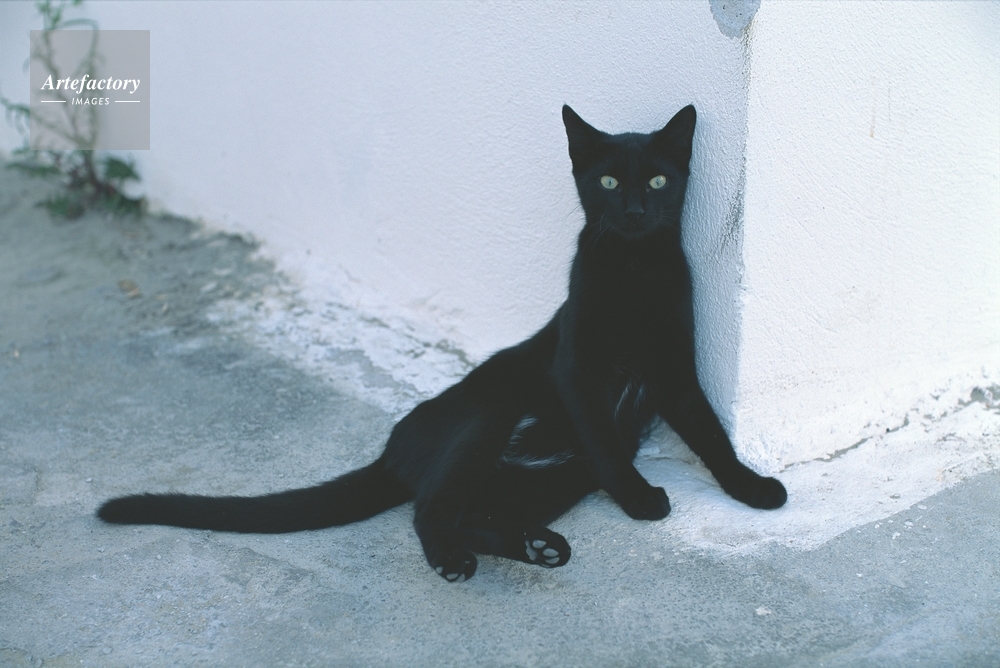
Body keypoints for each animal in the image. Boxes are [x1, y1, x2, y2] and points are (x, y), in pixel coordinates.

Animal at [98, 104, 787, 582]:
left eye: (661, 182)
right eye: (612, 183)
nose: (638, 211)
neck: (635, 272)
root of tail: (393, 450)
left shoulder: (674, 371)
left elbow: (711, 435)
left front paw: (753, 488)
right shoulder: (578, 371)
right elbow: (614, 445)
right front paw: (642, 499)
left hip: (552, 480)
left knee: (471, 514)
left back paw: (537, 546)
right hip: (486, 421)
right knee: (430, 507)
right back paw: (456, 559)